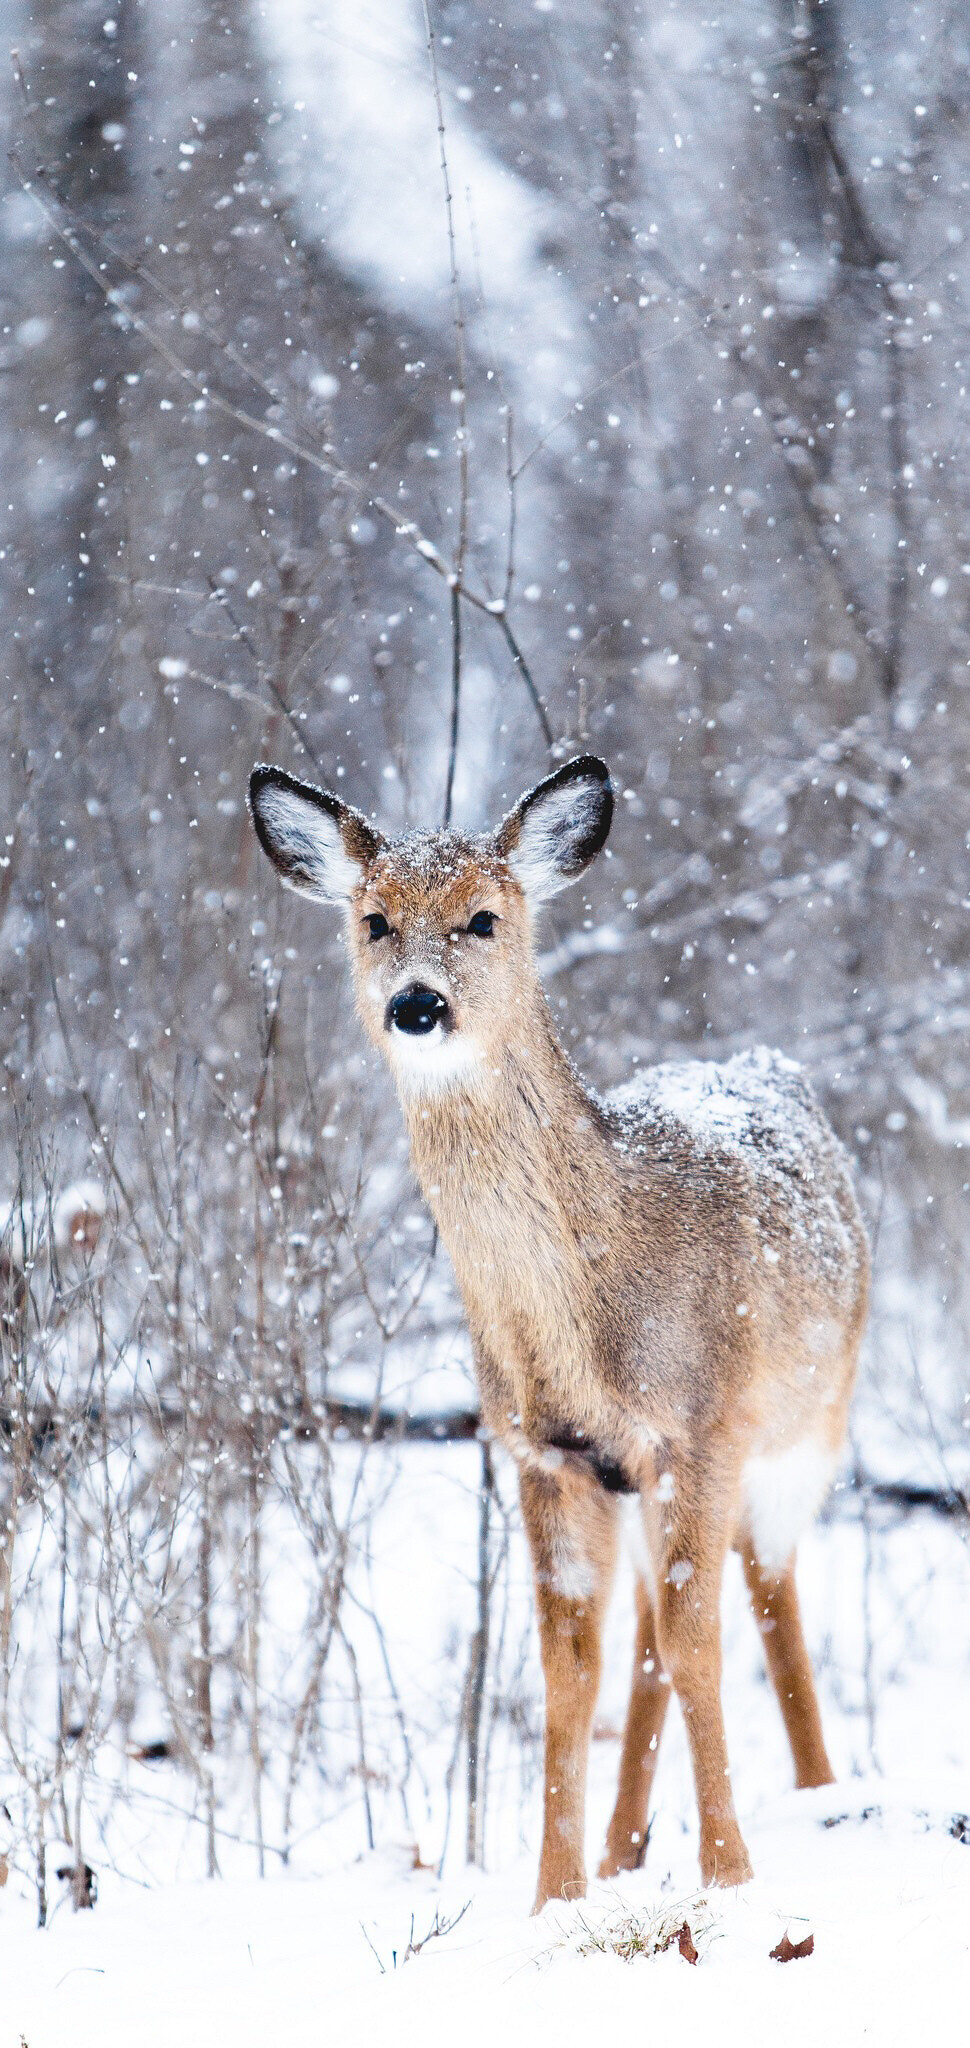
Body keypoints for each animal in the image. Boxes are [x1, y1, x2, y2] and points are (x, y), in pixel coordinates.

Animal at [246, 757, 867, 1916]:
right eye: (374, 920)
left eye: (483, 918)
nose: (416, 1003)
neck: (587, 1317)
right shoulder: (545, 1453)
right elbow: (570, 1671)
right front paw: (555, 1896)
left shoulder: (703, 1426)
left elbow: (702, 1644)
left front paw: (730, 1876)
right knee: (648, 1640)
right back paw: (627, 1848)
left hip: (811, 1423)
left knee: (768, 1595)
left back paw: (819, 1794)